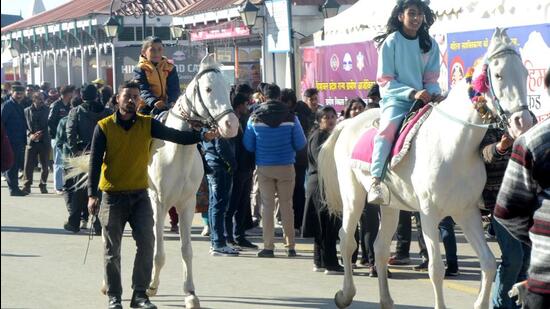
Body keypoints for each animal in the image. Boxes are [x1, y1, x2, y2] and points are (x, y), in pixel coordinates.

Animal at [147, 54, 239, 306]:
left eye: (228, 88)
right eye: (208, 89)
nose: (231, 126)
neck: (176, 149)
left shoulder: (187, 203)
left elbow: (186, 250)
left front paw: (190, 294)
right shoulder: (159, 202)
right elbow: (158, 251)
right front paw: (151, 287)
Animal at [320, 27, 536, 308]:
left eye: (525, 73)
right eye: (498, 75)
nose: (524, 121)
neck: (453, 144)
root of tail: (348, 122)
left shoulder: (466, 212)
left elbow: (488, 263)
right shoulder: (429, 213)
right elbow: (436, 269)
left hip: (390, 205)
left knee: (380, 248)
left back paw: (386, 300)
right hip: (353, 196)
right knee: (346, 240)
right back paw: (345, 294)